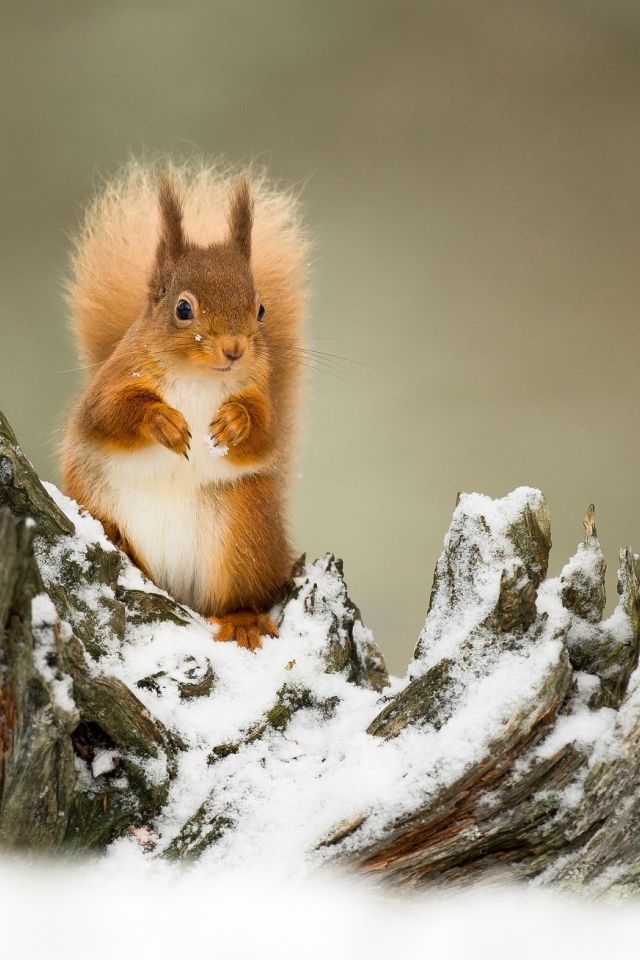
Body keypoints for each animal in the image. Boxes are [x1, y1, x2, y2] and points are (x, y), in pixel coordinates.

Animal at [60, 160, 308, 651]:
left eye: (261, 310)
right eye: (182, 309)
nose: (234, 349)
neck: (199, 378)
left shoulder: (260, 391)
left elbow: (265, 433)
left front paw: (234, 422)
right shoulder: (111, 383)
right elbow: (110, 415)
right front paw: (164, 421)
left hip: (243, 534)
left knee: (243, 593)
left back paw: (242, 620)